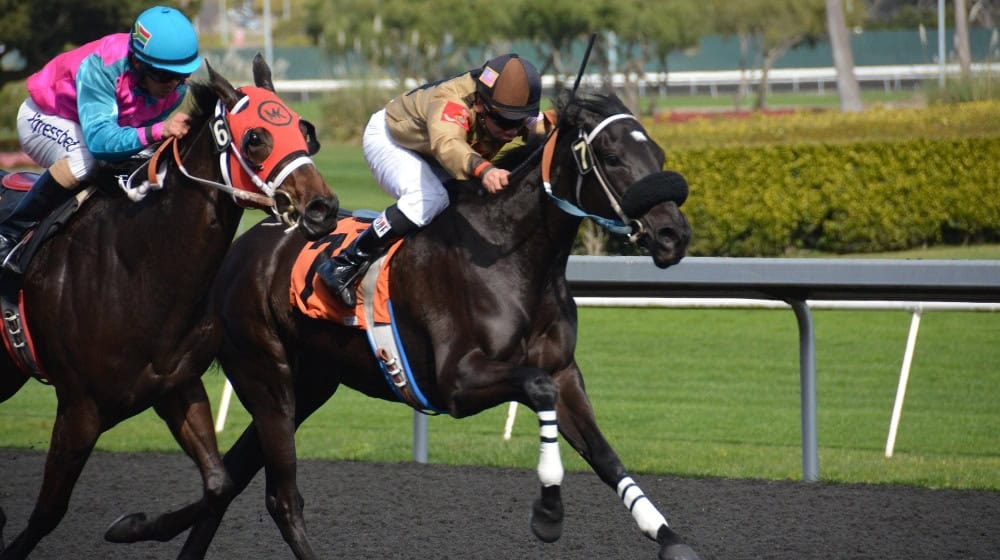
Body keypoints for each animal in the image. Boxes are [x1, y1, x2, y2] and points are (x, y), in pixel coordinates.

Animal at [0, 53, 340, 560]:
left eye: (305, 129)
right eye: (256, 137)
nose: (323, 208)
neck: (137, 267)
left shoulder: (176, 386)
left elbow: (219, 485)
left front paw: (132, 525)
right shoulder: (80, 407)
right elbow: (47, 512)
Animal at [109, 89, 700, 556]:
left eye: (657, 151)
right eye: (611, 155)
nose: (673, 235)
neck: (514, 257)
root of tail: (240, 250)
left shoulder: (564, 371)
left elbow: (604, 454)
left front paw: (668, 537)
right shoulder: (457, 383)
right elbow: (536, 391)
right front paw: (549, 512)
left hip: (309, 385)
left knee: (228, 478)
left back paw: (137, 527)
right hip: (265, 377)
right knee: (276, 496)